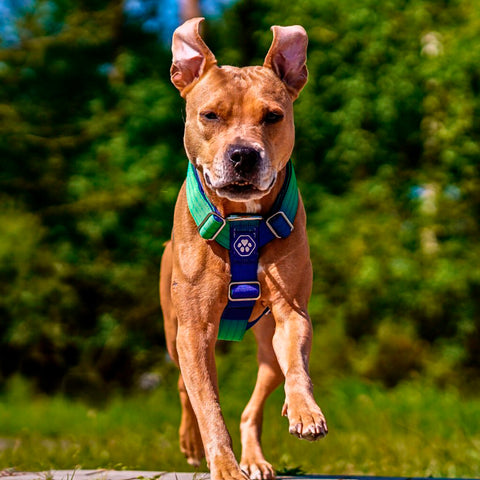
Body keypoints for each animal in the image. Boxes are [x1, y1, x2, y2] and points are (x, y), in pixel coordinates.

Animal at [159, 17, 328, 480]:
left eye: (273, 116)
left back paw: (255, 456)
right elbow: (208, 407)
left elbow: (299, 366)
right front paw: (223, 465)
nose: (243, 155)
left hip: (267, 349)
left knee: (257, 402)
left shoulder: (292, 312)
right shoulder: (194, 330)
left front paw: (305, 411)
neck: (242, 220)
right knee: (186, 388)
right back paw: (193, 442)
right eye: (210, 115)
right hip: (174, 333)